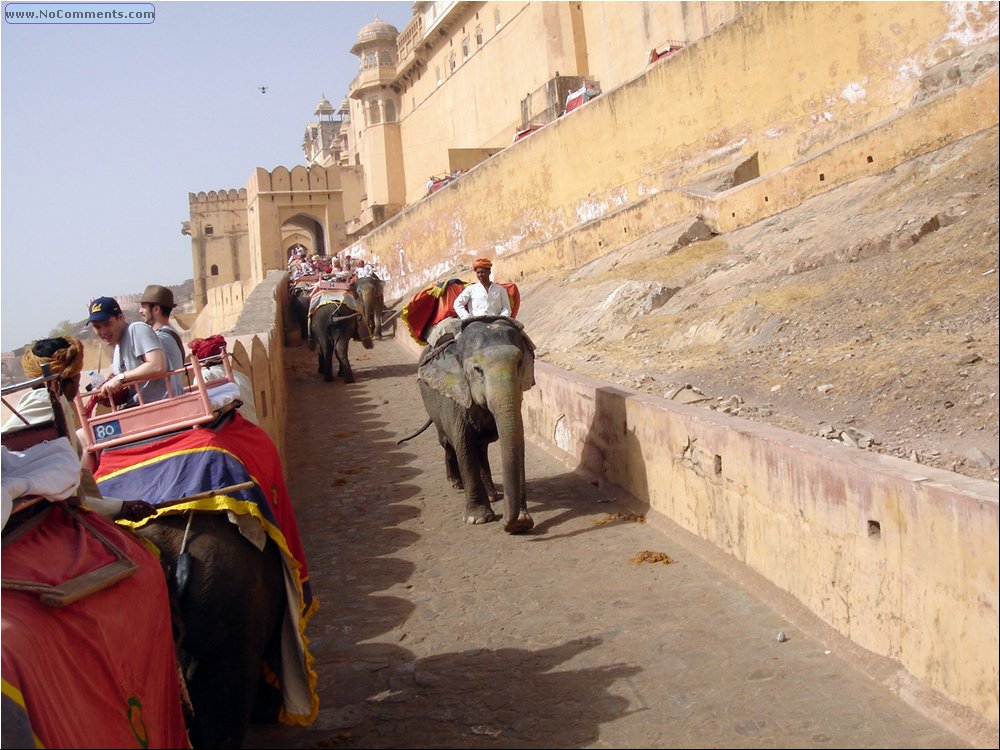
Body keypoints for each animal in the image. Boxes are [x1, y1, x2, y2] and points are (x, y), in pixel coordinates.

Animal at [398, 316, 540, 536]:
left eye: (519, 364)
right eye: (477, 370)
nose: (511, 524)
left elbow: (517, 443)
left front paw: (523, 520)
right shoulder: (455, 399)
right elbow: (463, 445)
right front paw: (478, 519)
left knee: (481, 447)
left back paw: (492, 494)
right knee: (447, 443)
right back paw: (456, 483)